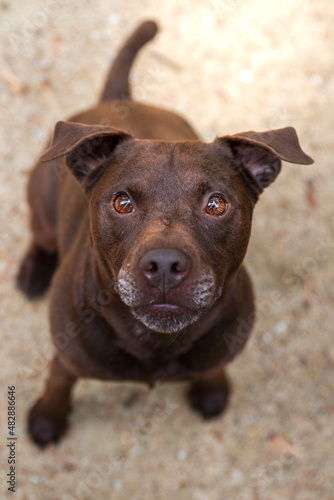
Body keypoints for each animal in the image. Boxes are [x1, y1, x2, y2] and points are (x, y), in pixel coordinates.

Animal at [16, 21, 314, 448]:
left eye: (216, 204)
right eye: (122, 202)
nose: (164, 264)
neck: (155, 343)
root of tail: (120, 98)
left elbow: (211, 368)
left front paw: (211, 391)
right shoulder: (66, 358)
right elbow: (58, 383)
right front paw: (47, 419)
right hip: (40, 198)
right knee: (42, 236)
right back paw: (32, 270)